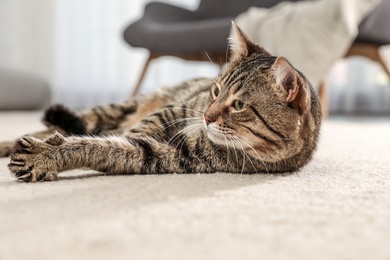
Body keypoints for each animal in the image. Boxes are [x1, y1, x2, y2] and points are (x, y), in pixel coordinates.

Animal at [3, 23, 322, 182]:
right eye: (215, 90)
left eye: (240, 105)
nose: (207, 117)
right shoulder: (178, 109)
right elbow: (138, 128)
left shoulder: (169, 155)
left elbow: (100, 147)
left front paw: (45, 156)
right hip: (112, 110)